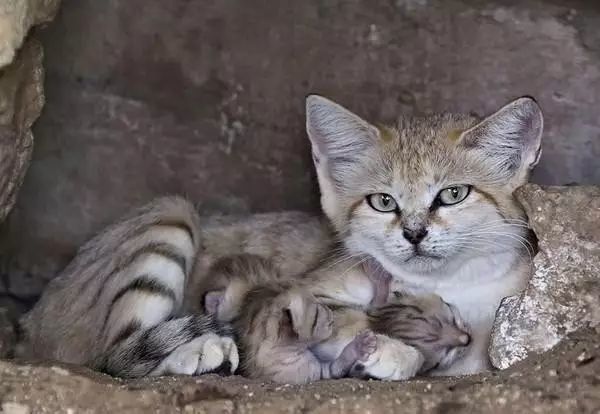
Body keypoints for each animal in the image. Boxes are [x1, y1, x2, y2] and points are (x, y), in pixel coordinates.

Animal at [18, 94, 540, 378]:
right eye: (383, 202)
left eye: (452, 194)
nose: (413, 233)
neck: (451, 284)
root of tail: (28, 326)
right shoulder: (306, 292)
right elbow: (347, 317)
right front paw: (390, 348)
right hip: (171, 214)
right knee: (113, 357)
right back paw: (199, 350)